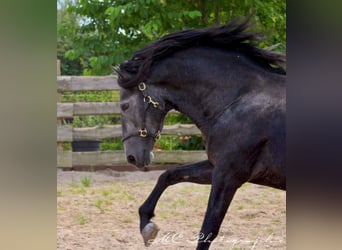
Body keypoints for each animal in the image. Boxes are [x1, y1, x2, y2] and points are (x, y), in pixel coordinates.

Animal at [117, 18, 286, 249]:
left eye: (124, 106)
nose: (132, 157)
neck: (238, 99)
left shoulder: (228, 175)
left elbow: (208, 230)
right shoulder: (216, 167)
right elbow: (169, 175)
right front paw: (146, 224)